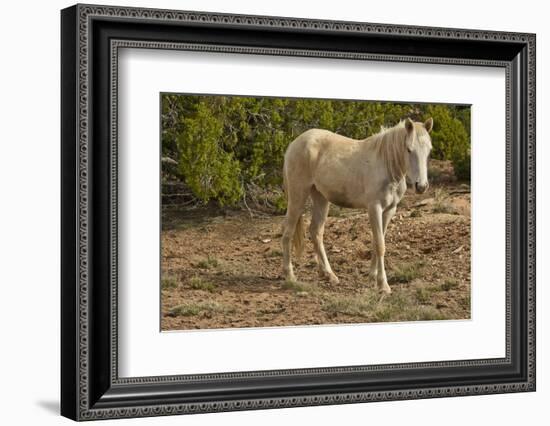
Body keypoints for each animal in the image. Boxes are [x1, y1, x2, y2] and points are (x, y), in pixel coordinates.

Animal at [284, 118, 436, 294]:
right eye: (409, 149)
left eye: (429, 151)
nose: (421, 186)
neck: (386, 164)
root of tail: (294, 143)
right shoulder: (374, 208)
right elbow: (380, 245)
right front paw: (383, 285)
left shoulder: (389, 210)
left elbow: (377, 242)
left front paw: (373, 276)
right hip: (298, 195)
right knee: (288, 232)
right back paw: (290, 276)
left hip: (320, 198)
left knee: (316, 232)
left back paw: (329, 274)